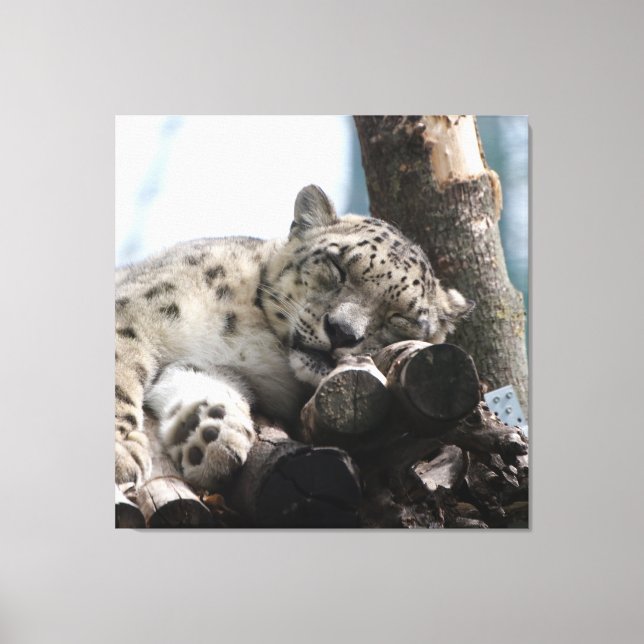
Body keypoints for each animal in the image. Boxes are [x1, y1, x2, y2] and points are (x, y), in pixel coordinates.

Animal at [115, 185, 472, 491]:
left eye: (400, 317)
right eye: (337, 267)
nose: (342, 331)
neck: (254, 340)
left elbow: (201, 379)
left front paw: (211, 434)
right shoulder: (137, 312)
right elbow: (121, 372)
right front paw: (121, 456)